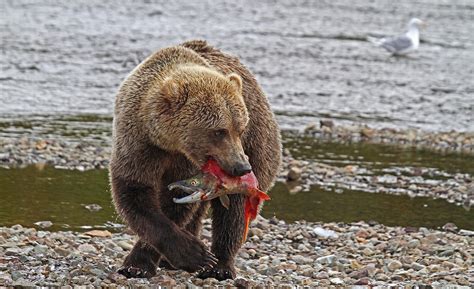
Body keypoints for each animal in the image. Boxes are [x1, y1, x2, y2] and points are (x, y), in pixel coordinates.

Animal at [110, 40, 282, 280]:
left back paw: (221, 266)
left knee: (234, 213)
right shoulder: (138, 142)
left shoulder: (187, 162)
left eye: (240, 128)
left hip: (259, 147)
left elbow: (175, 201)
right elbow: (135, 192)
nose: (241, 167)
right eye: (219, 131)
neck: (168, 142)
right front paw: (141, 264)